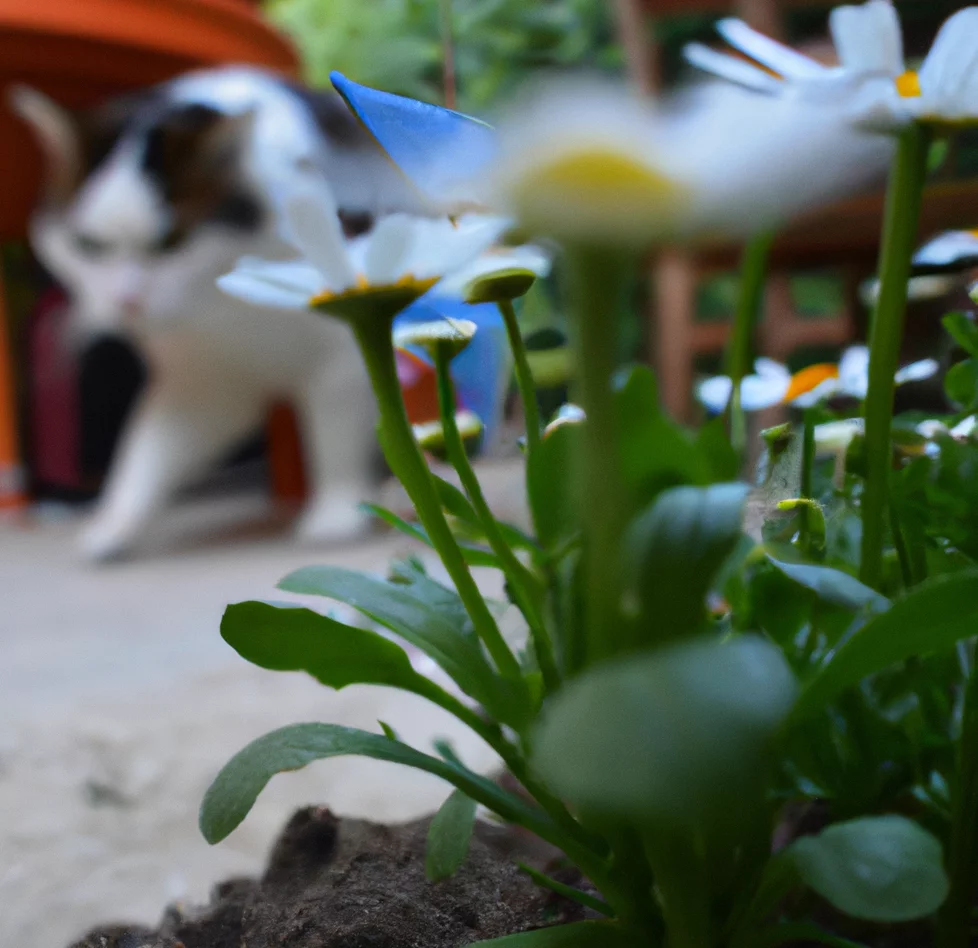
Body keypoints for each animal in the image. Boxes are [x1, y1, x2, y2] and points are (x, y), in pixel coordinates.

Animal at [13, 68, 448, 564]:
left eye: (170, 244)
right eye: (89, 246)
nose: (127, 302)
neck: (219, 305)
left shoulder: (342, 348)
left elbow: (333, 435)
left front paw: (337, 512)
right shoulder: (208, 384)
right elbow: (143, 452)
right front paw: (114, 525)